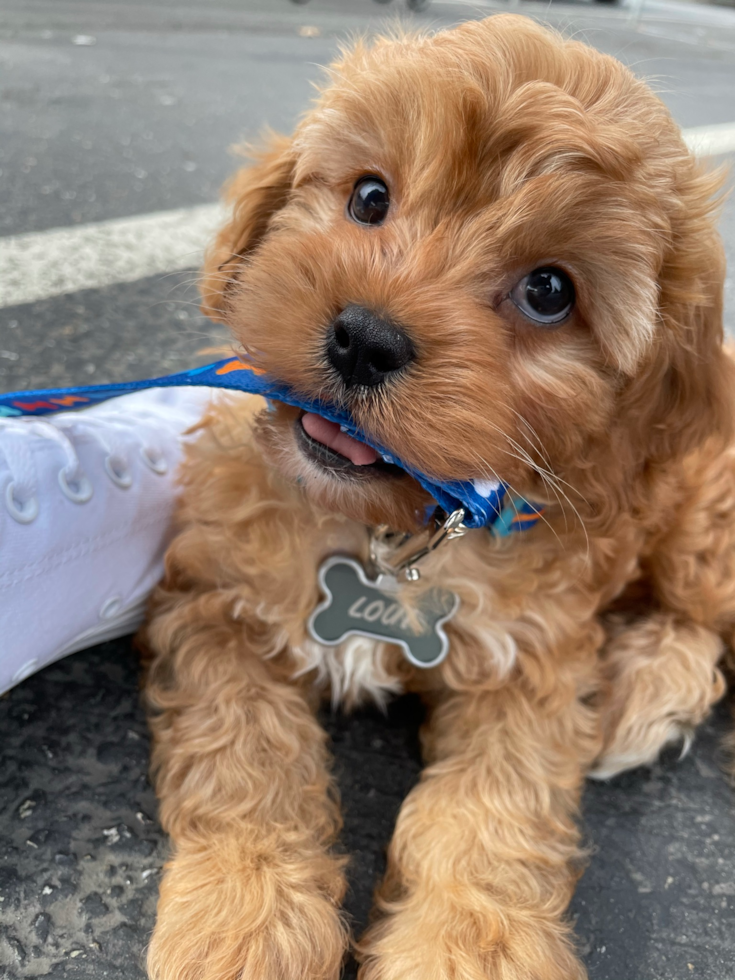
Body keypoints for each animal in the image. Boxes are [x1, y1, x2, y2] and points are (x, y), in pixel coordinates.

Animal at [141, 15, 732, 980]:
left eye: (548, 290)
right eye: (369, 197)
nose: (364, 338)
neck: (393, 528)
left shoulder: (530, 663)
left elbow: (492, 812)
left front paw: (466, 946)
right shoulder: (210, 599)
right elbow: (244, 752)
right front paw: (245, 912)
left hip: (699, 530)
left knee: (701, 616)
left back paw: (643, 688)